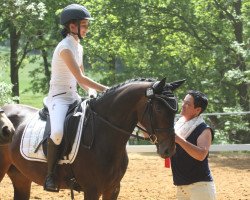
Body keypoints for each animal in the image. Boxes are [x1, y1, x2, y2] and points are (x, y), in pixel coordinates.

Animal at [0, 78, 184, 200]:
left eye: (176, 110)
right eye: (158, 108)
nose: (169, 149)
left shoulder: (113, 189)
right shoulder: (92, 189)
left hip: (21, 177)